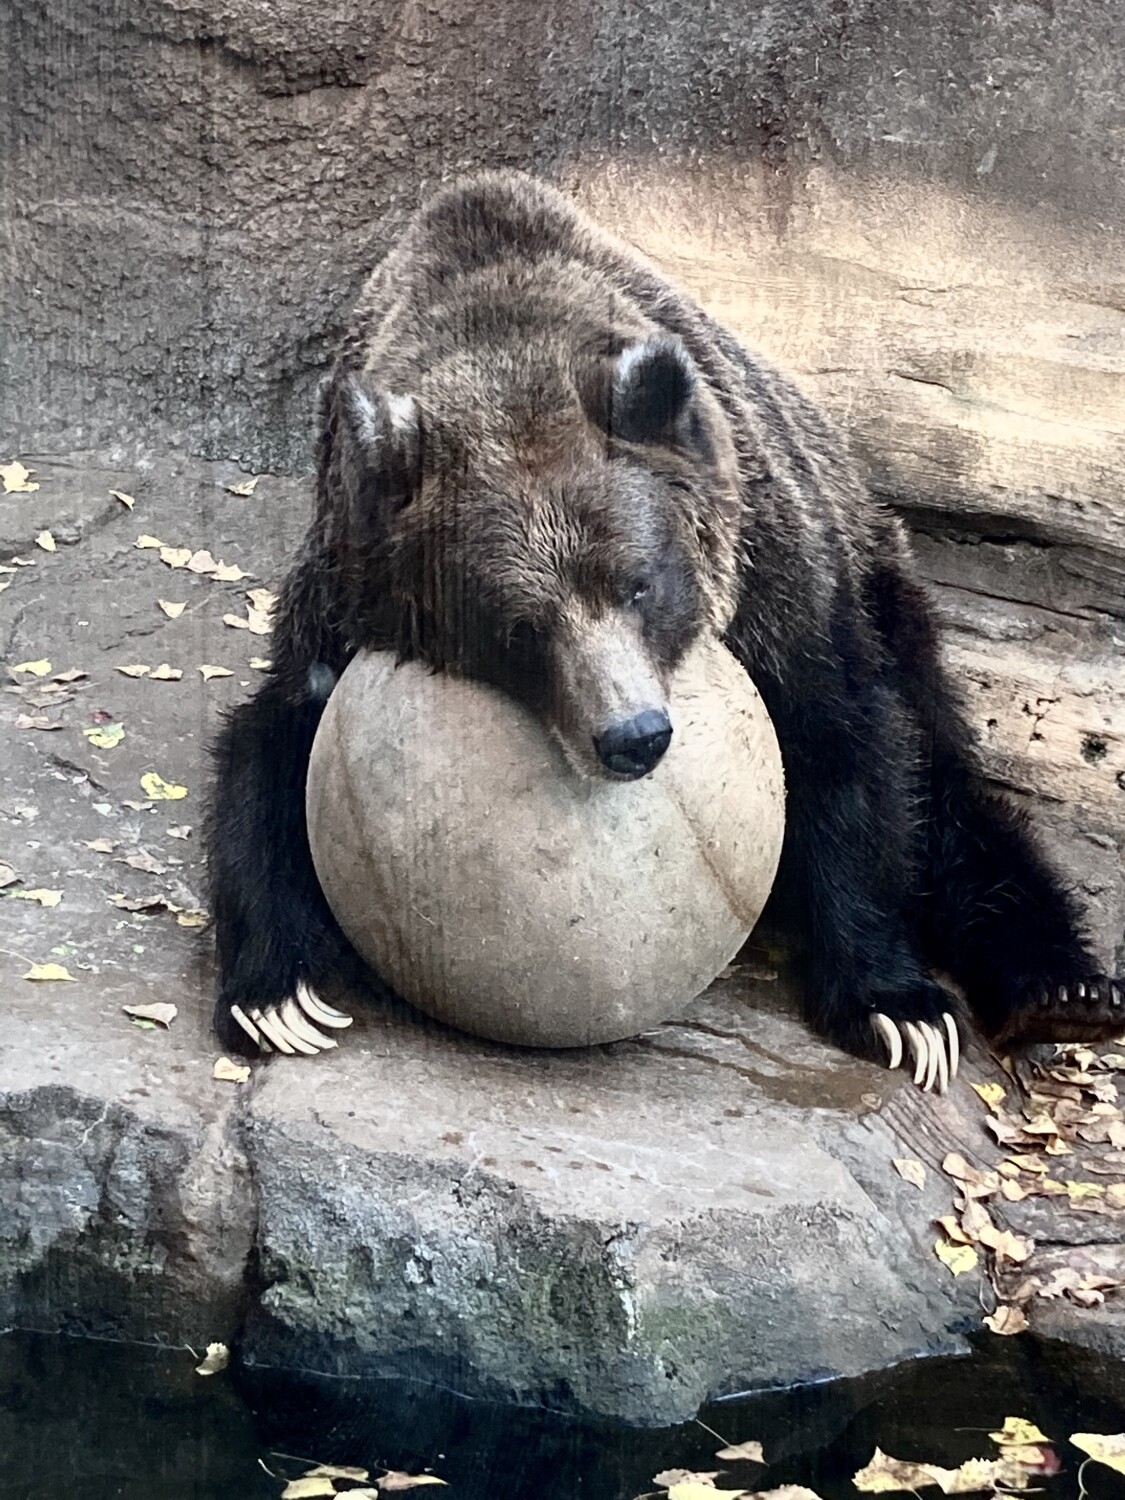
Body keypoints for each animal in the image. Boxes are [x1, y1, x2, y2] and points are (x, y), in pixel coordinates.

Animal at [205, 170, 1124, 1088]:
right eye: (517, 627)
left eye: (638, 585)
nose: (632, 736)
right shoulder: (344, 592)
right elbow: (270, 753)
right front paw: (278, 994)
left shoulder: (777, 588)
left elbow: (848, 750)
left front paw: (894, 1005)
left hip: (882, 585)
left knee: (948, 785)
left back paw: (1063, 990)